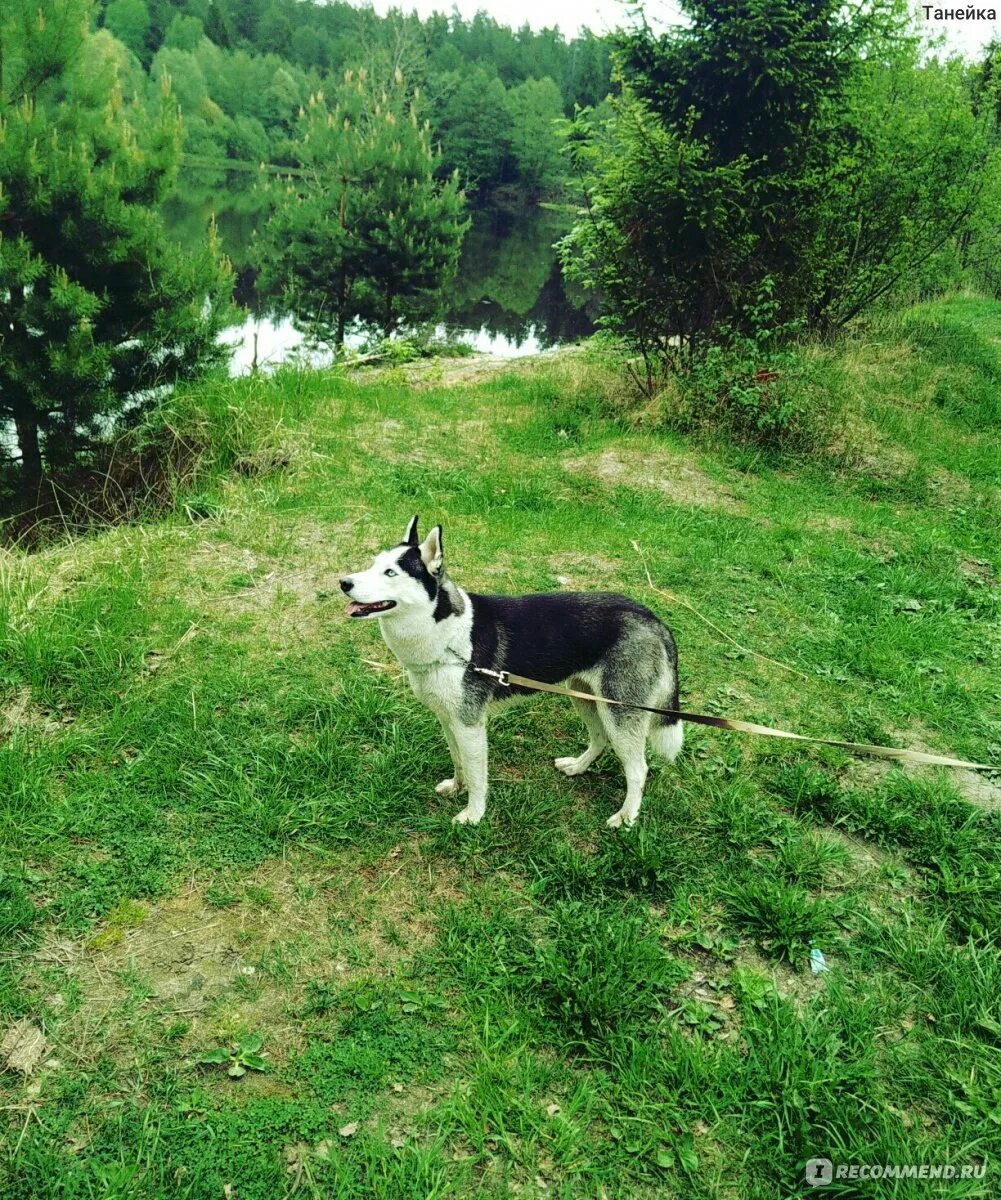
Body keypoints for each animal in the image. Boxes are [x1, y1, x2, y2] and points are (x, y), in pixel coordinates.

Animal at [340, 516, 676, 825]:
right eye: (373, 565)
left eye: (391, 572)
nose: (343, 583)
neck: (445, 635)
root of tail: (652, 618)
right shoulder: (448, 718)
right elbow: (457, 760)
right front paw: (457, 787)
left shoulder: (470, 725)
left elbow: (477, 776)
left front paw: (473, 815)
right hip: (585, 698)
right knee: (600, 739)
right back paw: (577, 767)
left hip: (620, 712)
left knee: (638, 769)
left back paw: (626, 817)